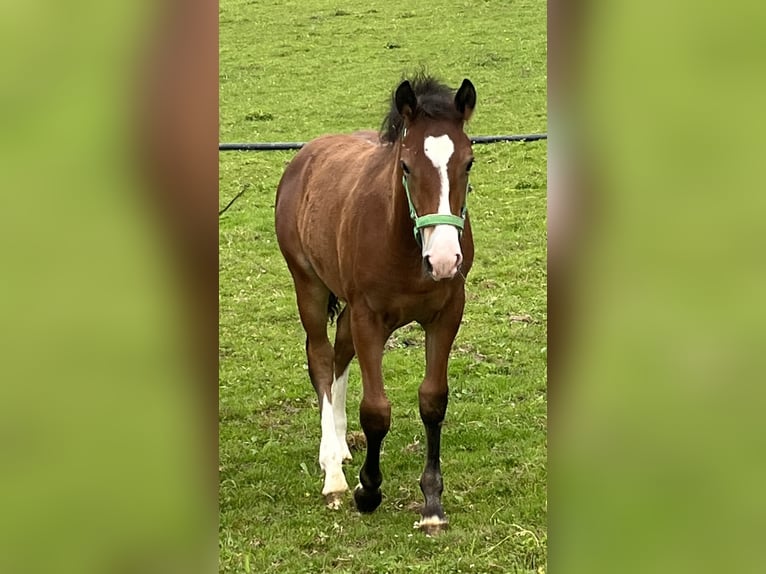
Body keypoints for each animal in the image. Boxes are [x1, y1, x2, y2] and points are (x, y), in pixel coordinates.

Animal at [276, 75, 476, 536]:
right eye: (406, 166)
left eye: (469, 163)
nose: (443, 260)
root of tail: (305, 156)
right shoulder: (370, 316)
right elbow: (376, 410)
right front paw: (367, 491)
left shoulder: (446, 313)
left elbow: (433, 400)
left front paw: (432, 503)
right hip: (309, 285)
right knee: (320, 357)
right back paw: (333, 470)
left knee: (339, 355)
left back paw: (341, 447)